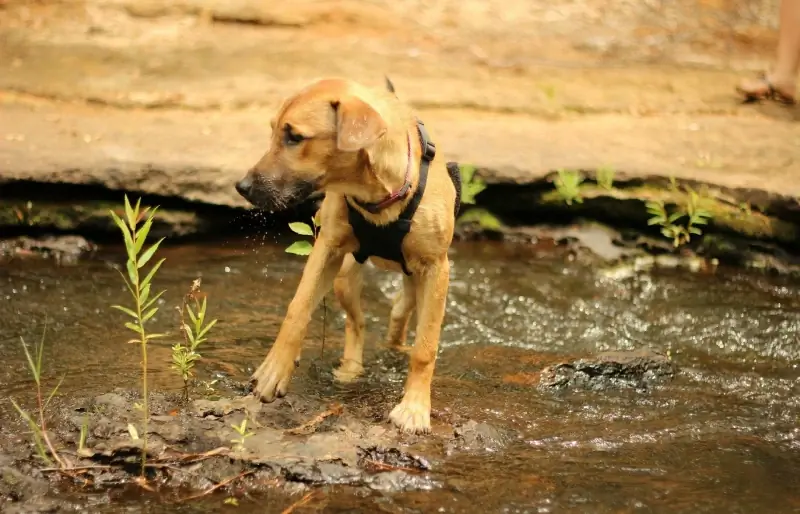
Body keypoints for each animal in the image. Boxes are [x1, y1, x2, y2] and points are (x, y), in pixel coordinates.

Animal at [234, 77, 460, 432]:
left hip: (419, 280)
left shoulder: (437, 268)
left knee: (402, 310)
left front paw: (414, 408)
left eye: (294, 137)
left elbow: (425, 347)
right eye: (273, 131)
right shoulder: (328, 249)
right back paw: (351, 368)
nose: (242, 187)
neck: (378, 195)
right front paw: (273, 371)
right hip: (344, 277)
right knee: (358, 323)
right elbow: (297, 309)